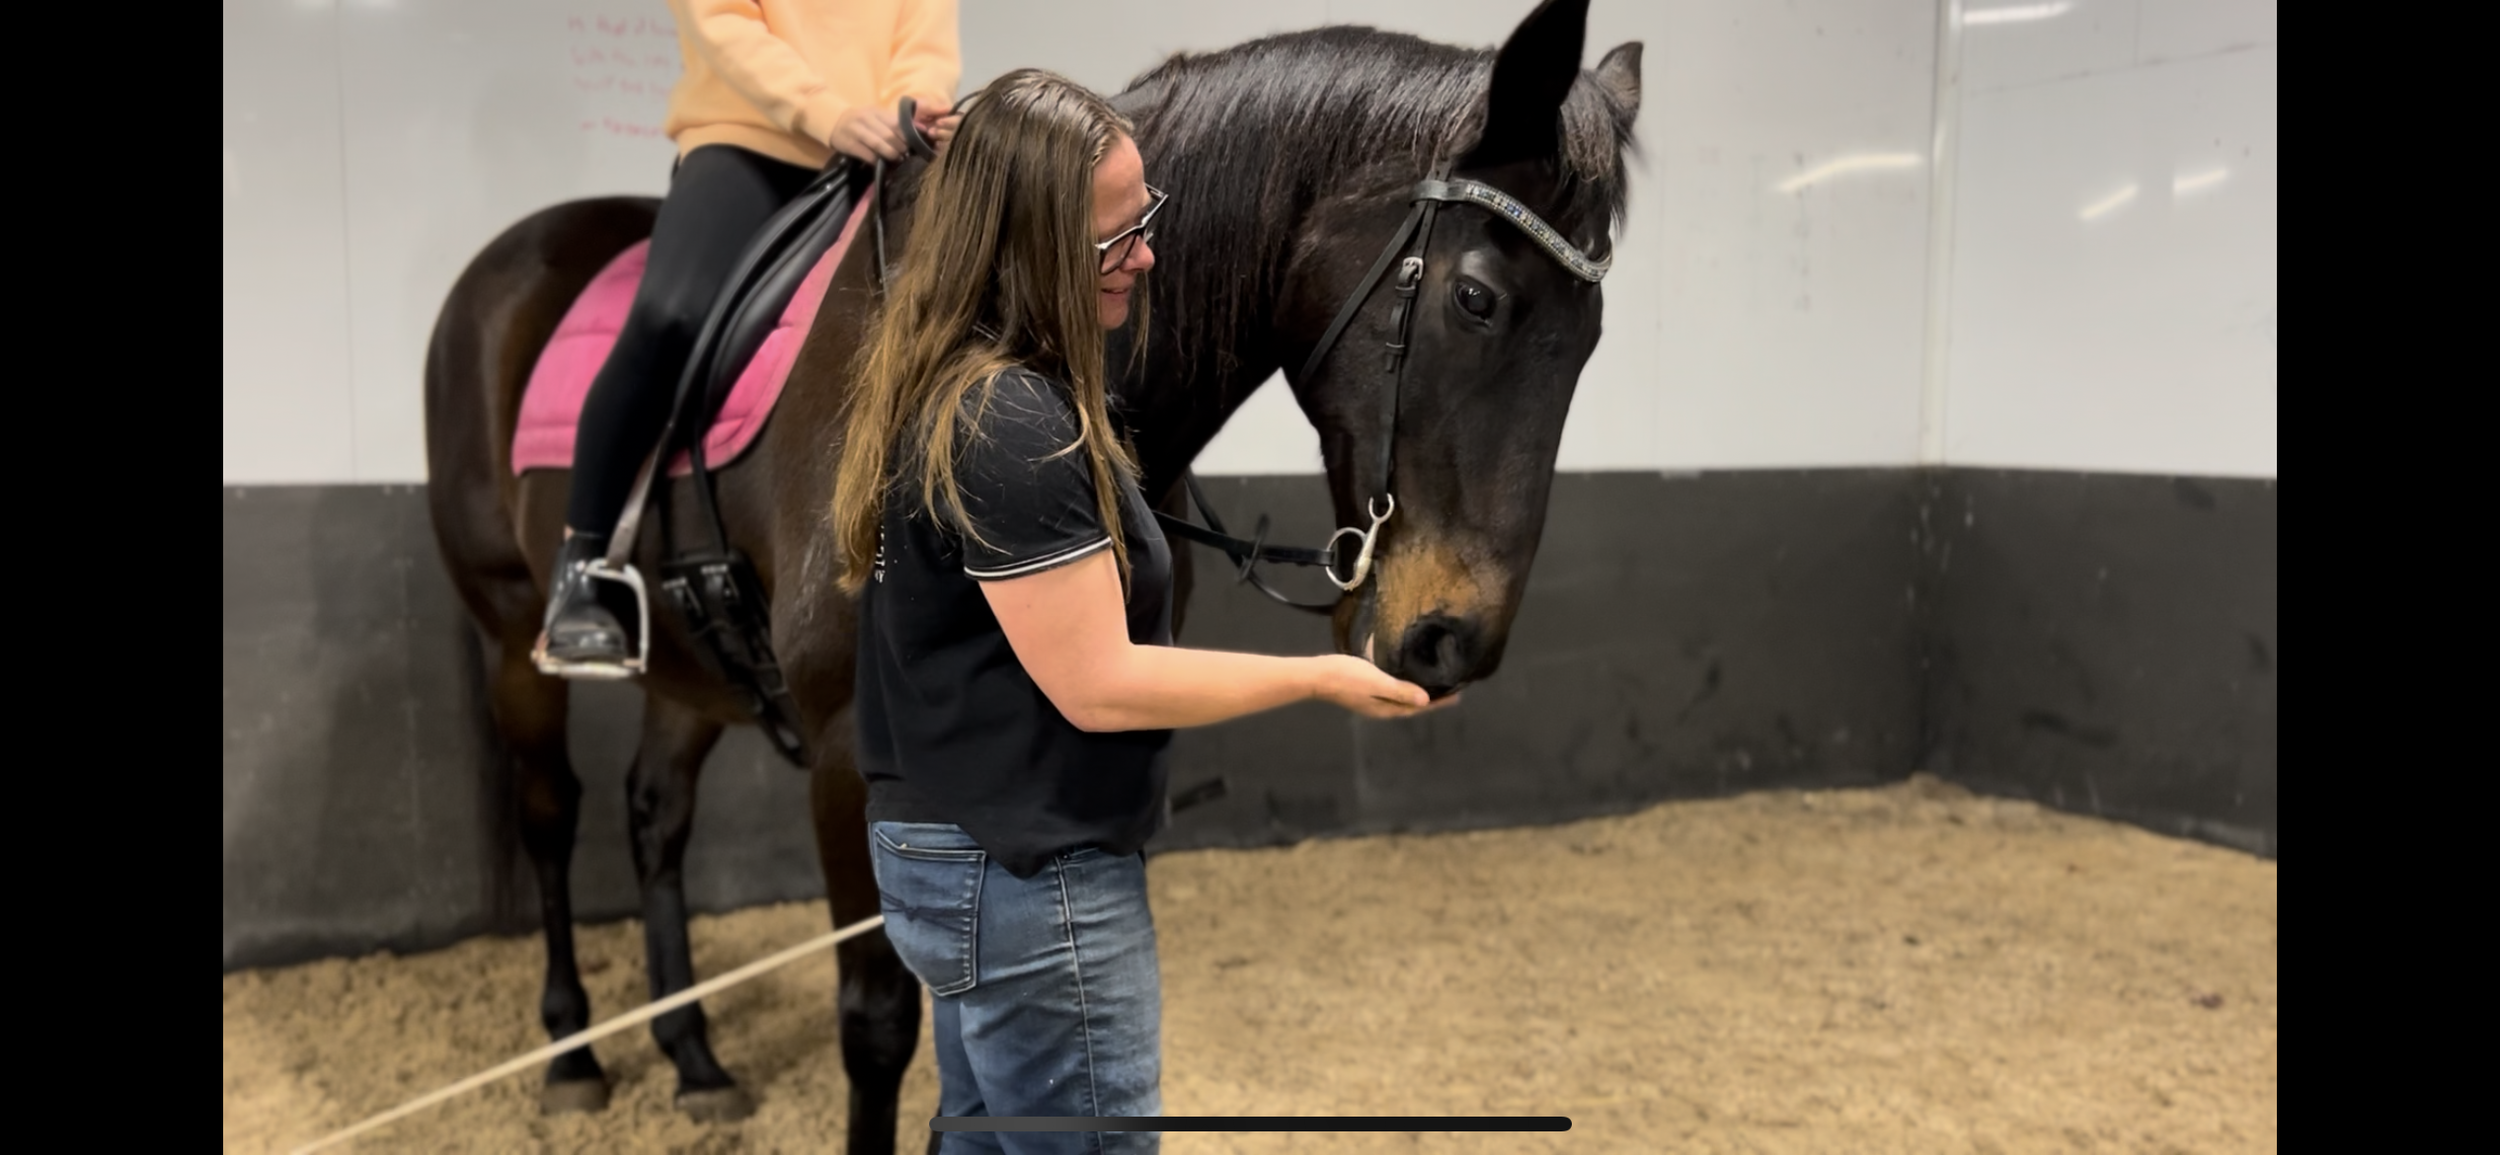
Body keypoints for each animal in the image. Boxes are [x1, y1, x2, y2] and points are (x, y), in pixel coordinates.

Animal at [422, 0, 1640, 1148]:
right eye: (1477, 299)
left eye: (1590, 340)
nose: (1451, 642)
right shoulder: (848, 755)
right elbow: (880, 1025)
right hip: (511, 634)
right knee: (551, 813)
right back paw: (575, 1055)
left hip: (690, 668)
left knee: (653, 814)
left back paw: (695, 1061)